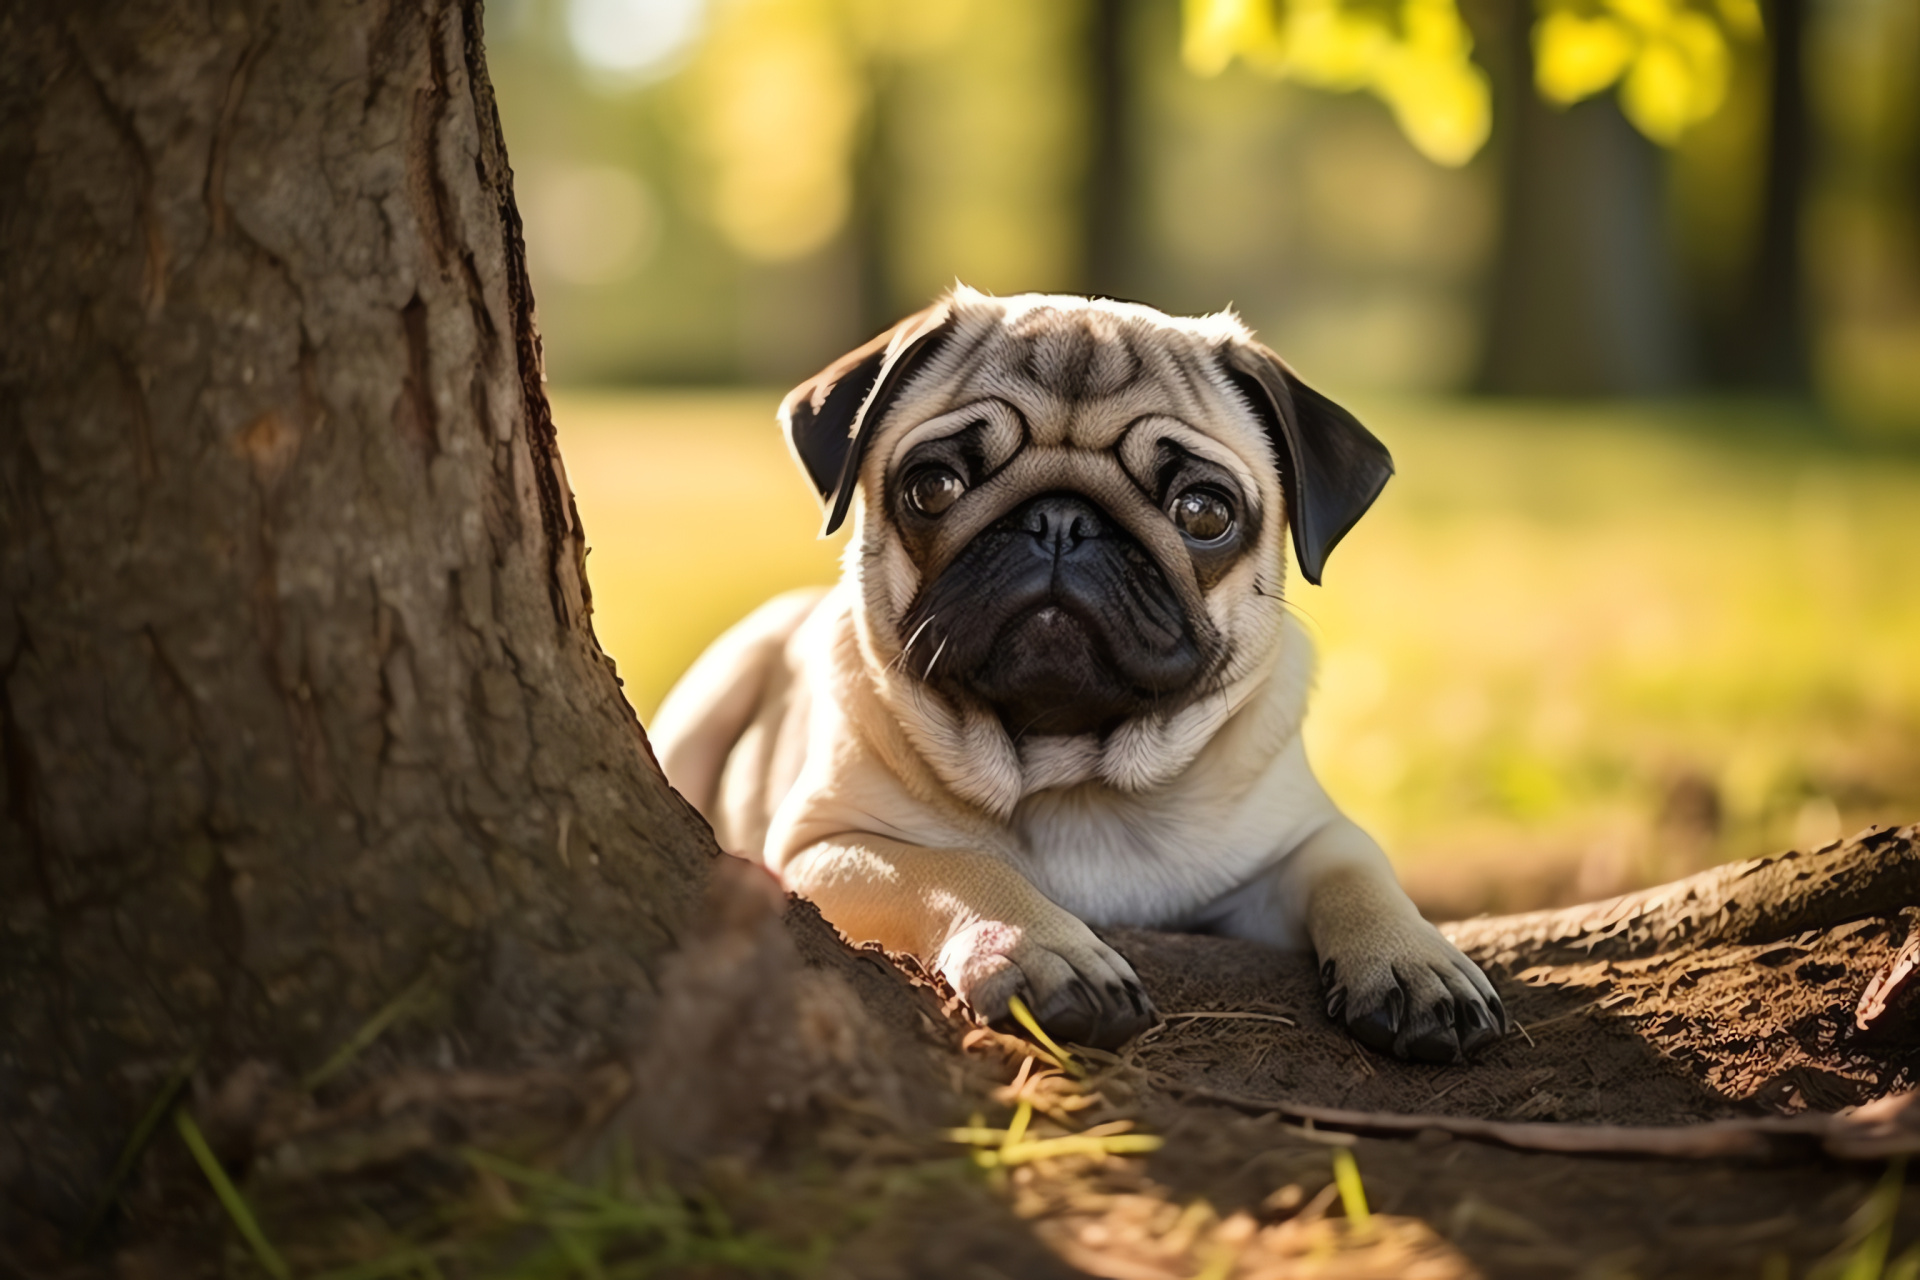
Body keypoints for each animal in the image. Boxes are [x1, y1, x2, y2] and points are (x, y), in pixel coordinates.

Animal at [652, 287, 1505, 1059]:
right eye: (933, 487)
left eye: (1204, 512)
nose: (1061, 520)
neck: (1073, 774)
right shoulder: (825, 844)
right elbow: (959, 867)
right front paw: (1044, 949)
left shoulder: (1301, 843)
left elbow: (1358, 874)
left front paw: (1415, 961)